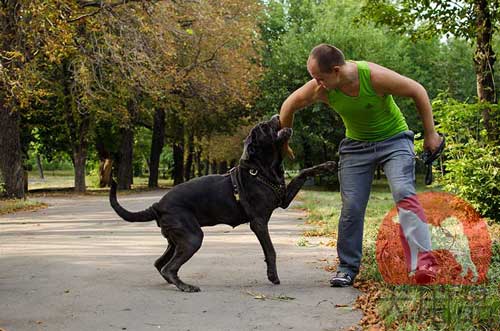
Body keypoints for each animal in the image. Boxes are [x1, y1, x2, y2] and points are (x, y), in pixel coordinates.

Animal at [109, 116, 336, 294]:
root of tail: (157, 204)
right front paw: (273, 276)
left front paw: (326, 166)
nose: (276, 115)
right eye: (263, 127)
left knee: (159, 263)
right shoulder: (259, 222)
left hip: (176, 239)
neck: (262, 170)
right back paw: (185, 286)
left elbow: (302, 172)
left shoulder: (284, 199)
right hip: (192, 237)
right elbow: (270, 251)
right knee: (168, 267)